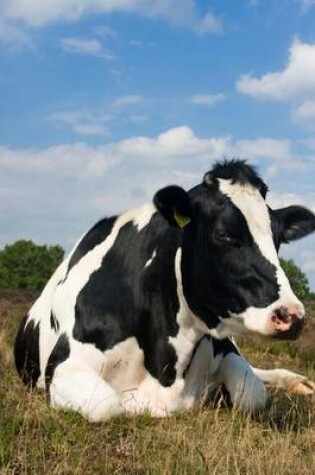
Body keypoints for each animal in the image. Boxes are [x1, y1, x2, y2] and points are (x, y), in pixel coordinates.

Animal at [14, 161, 315, 424]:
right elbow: (106, 404)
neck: (167, 368)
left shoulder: (226, 349)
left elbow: (252, 394)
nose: (293, 315)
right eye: (224, 234)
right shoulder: (64, 364)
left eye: (278, 239)